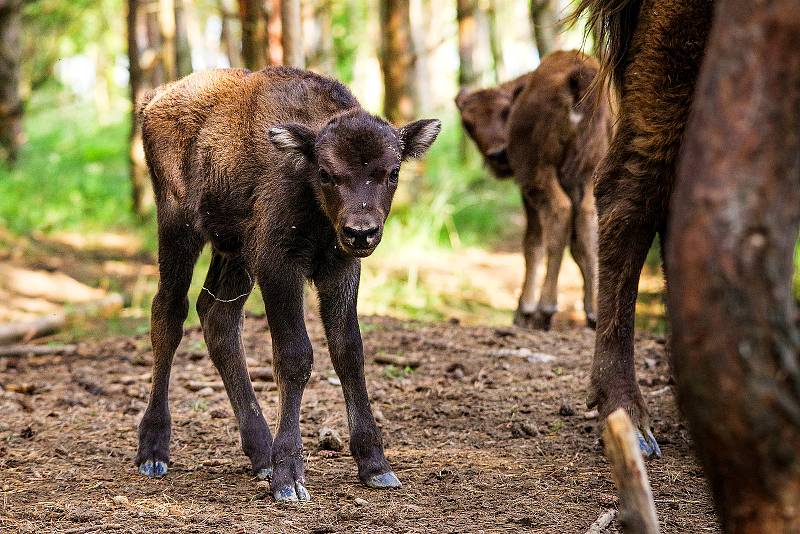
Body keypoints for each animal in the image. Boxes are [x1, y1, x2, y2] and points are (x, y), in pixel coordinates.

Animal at [134, 66, 440, 502]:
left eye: (392, 172)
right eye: (326, 173)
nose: (361, 232)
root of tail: (155, 99)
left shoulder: (340, 268)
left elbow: (349, 352)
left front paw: (375, 465)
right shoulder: (278, 266)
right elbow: (295, 356)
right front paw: (289, 477)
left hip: (234, 252)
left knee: (218, 317)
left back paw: (260, 452)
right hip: (178, 227)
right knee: (169, 315)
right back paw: (154, 451)